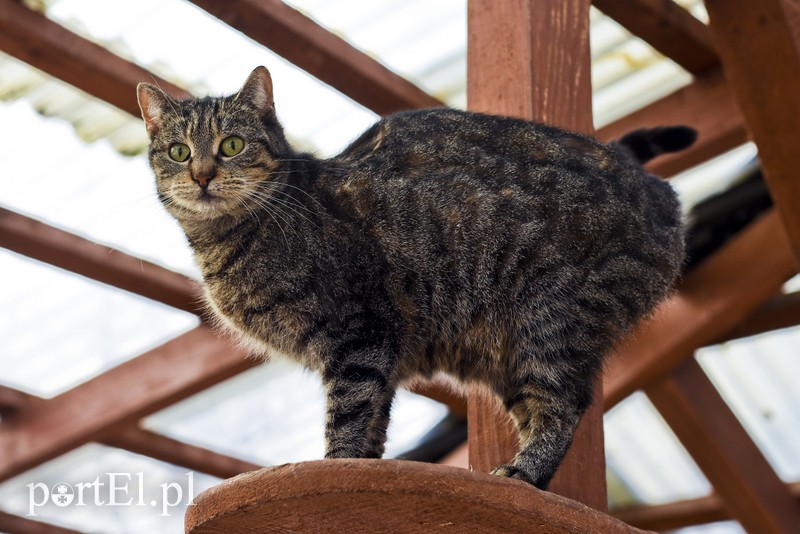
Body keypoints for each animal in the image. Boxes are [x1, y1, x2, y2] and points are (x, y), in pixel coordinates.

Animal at [138, 67, 688, 490]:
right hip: (508, 357)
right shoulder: (381, 352)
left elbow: (349, 415)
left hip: (551, 320)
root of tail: (658, 191)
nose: (202, 175)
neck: (226, 241)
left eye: (231, 145)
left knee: (563, 405)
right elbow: (373, 422)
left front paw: (333, 471)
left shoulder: (360, 333)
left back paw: (524, 474)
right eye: (179, 152)